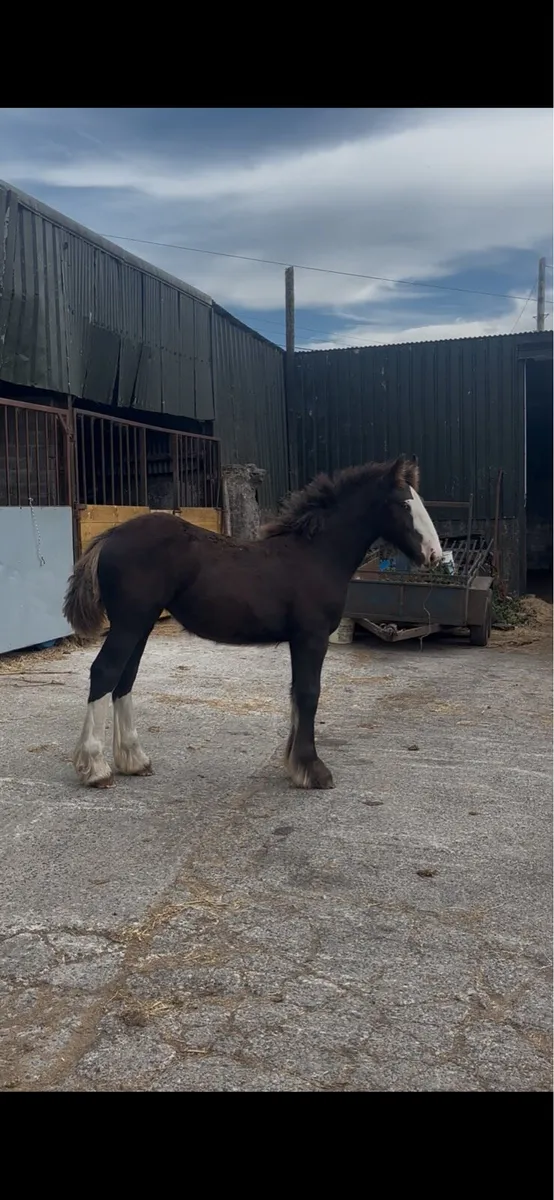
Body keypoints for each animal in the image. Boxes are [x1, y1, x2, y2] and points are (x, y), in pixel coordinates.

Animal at [63, 454, 442, 792]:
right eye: (404, 504)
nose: (435, 555)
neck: (316, 555)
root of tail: (111, 536)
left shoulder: (300, 640)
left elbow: (296, 693)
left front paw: (296, 765)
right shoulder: (312, 637)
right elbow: (309, 693)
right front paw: (313, 770)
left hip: (140, 624)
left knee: (124, 679)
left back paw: (134, 760)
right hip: (130, 622)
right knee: (105, 672)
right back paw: (95, 769)